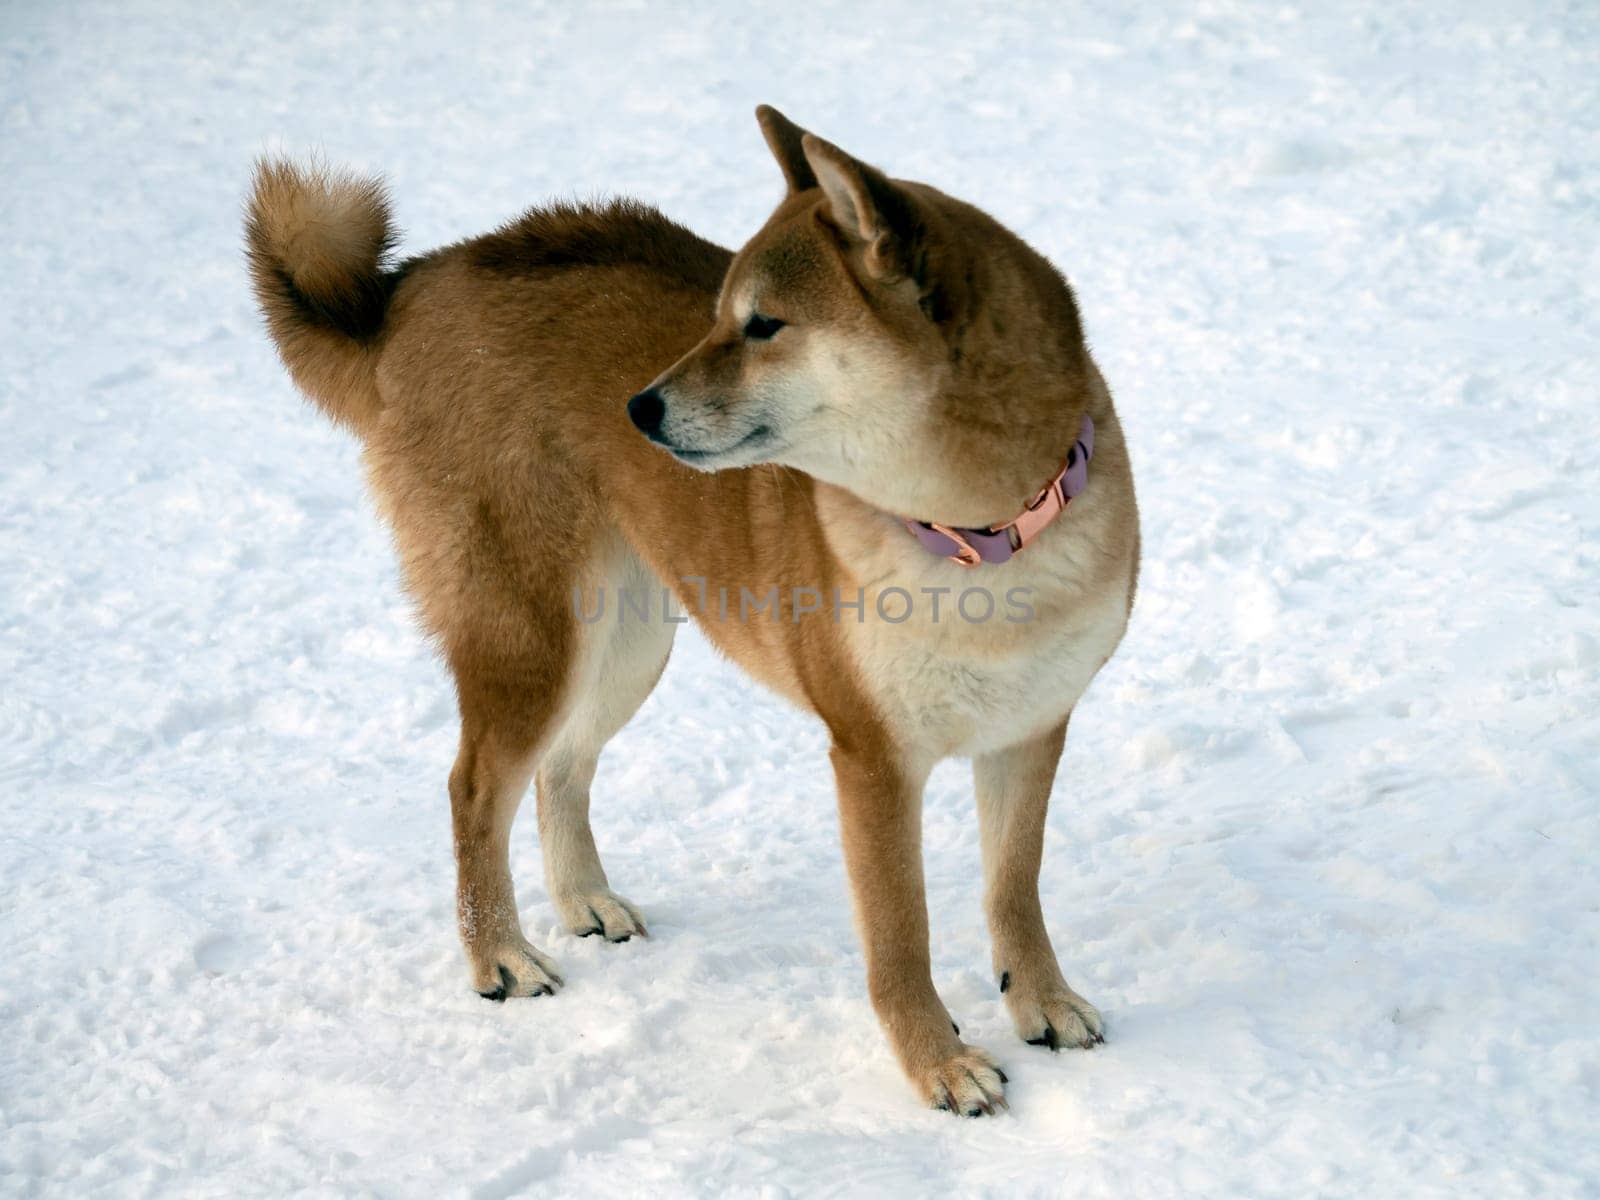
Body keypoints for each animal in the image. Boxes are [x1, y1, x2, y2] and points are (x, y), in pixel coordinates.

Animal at [243, 105, 1139, 1120]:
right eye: (720, 315)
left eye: (763, 326)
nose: (638, 407)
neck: (974, 535)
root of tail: (414, 284)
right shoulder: (871, 757)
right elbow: (900, 937)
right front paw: (938, 1064)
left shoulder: (1032, 727)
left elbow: (1013, 889)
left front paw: (1041, 1000)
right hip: (533, 636)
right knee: (475, 789)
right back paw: (500, 956)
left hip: (625, 642)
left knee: (561, 770)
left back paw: (584, 902)